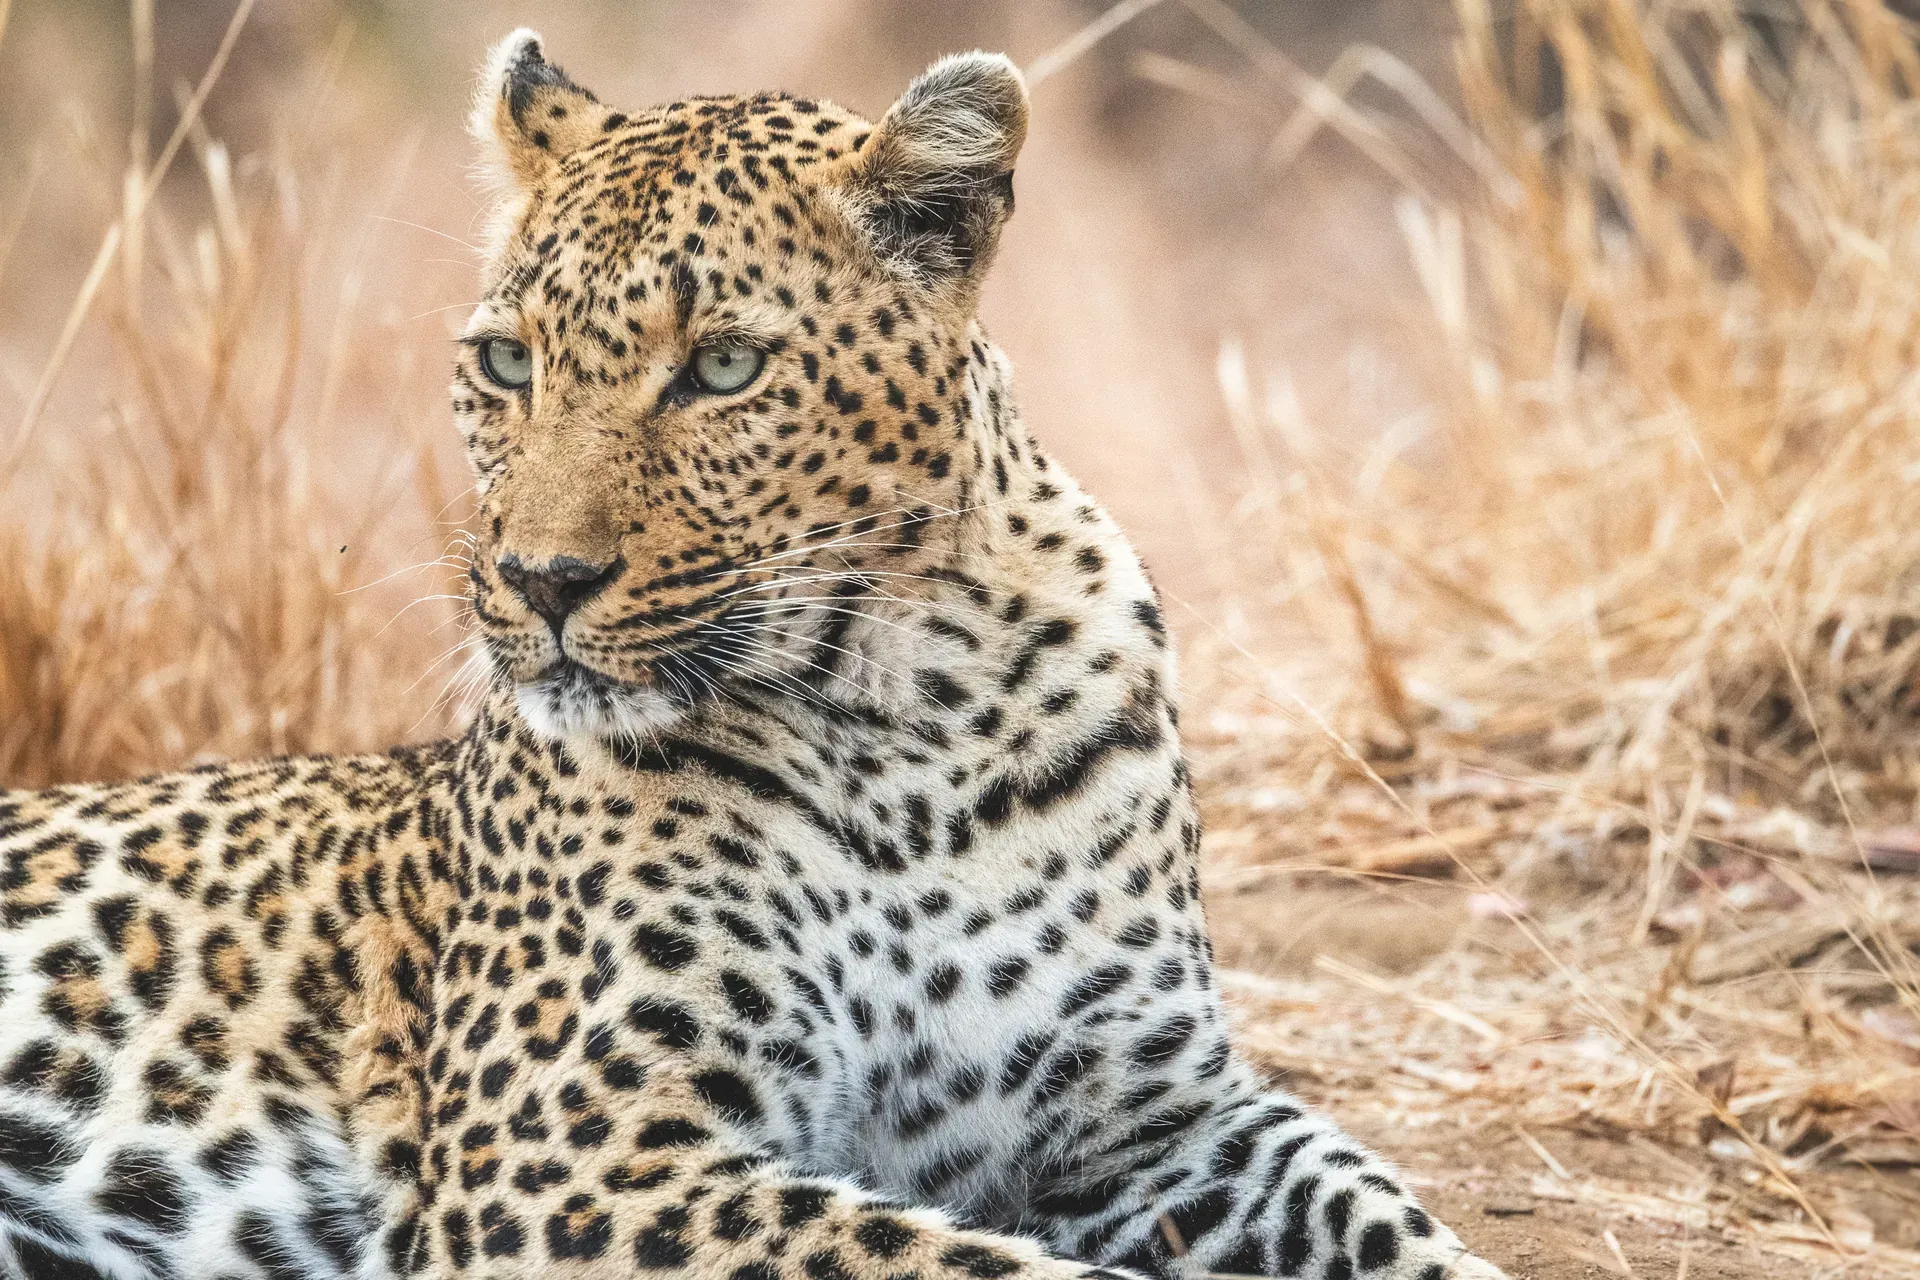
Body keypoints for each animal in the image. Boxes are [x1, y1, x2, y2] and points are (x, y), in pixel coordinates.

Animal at [0, 31, 1508, 1280]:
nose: (540, 581)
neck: (913, 713)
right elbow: (962, 1264)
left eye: (723, 369)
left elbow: (1385, 1211)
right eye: (505, 363)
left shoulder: (1154, 1121)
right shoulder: (579, 1158)